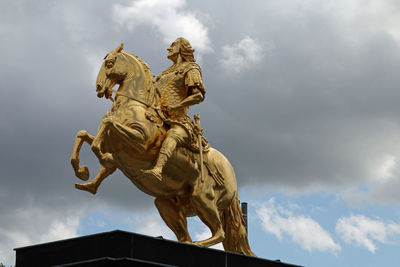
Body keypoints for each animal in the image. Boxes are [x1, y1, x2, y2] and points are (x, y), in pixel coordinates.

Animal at [70, 44, 255, 258]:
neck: (135, 105)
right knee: (185, 236)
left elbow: (106, 125)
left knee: (220, 233)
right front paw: (83, 173)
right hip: (167, 203)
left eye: (109, 63)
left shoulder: (141, 142)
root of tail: (230, 170)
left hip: (203, 199)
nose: (99, 88)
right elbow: (85, 134)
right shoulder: (114, 145)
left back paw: (198, 244)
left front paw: (102, 158)